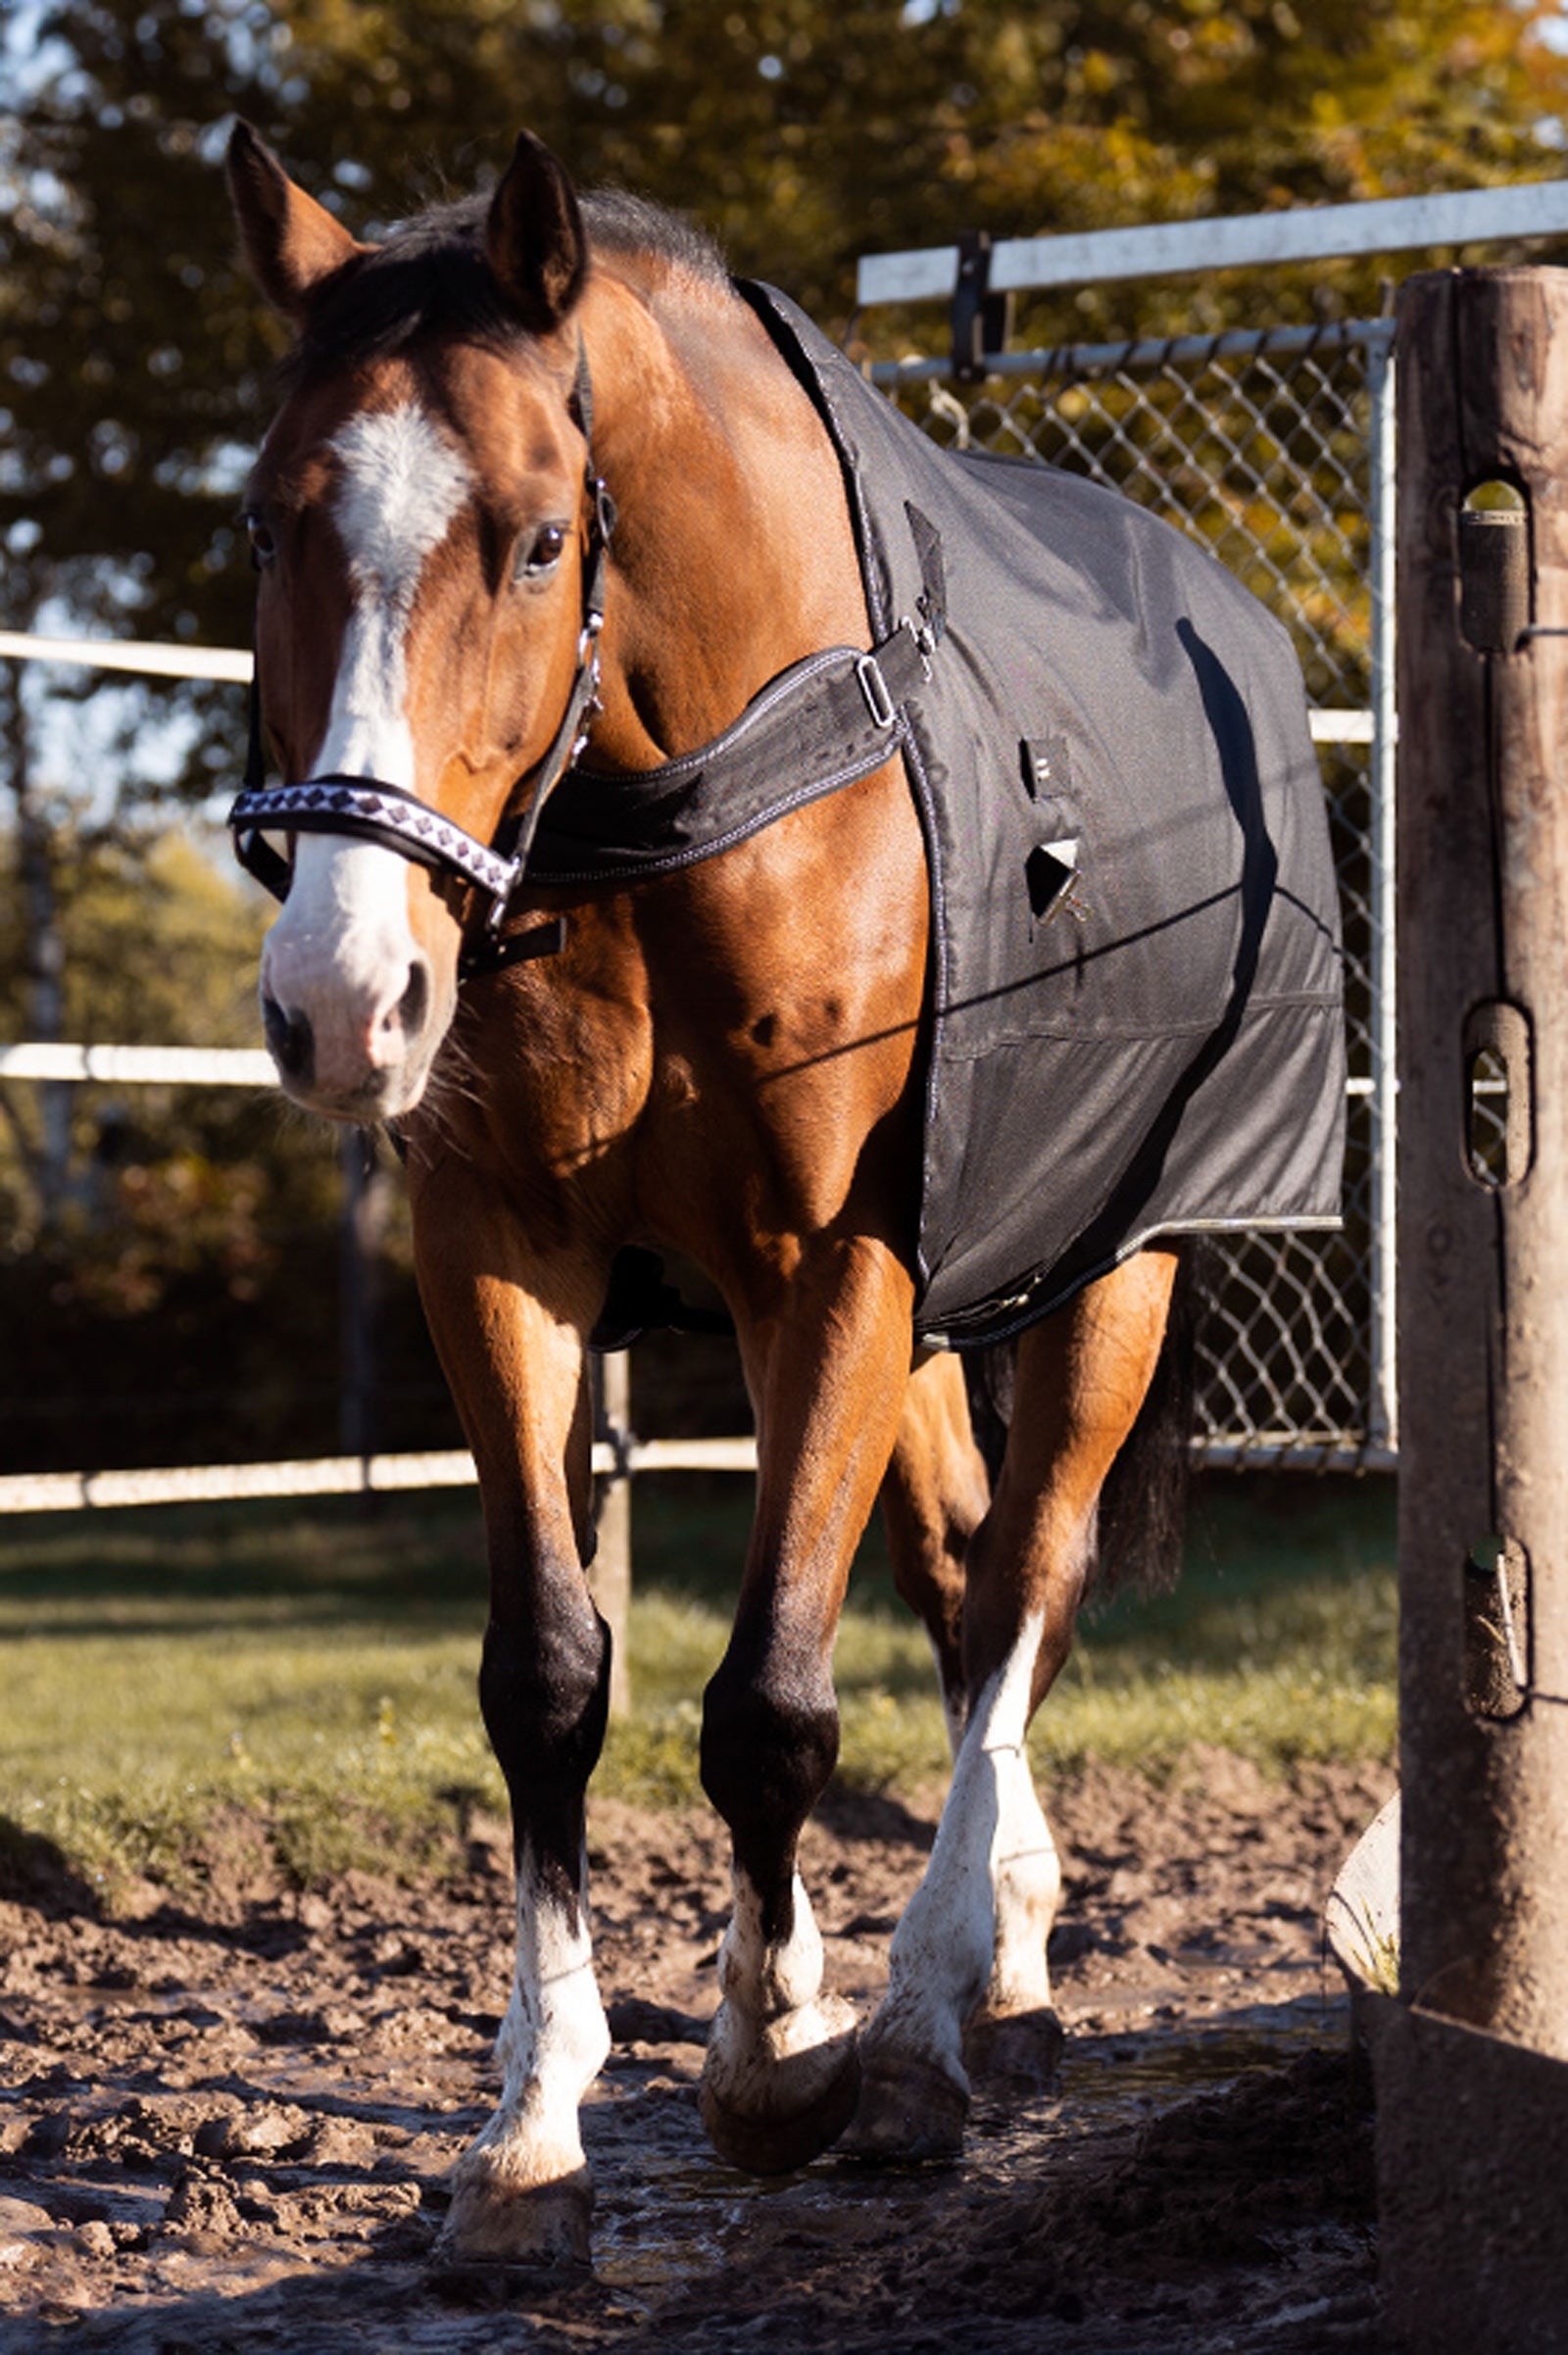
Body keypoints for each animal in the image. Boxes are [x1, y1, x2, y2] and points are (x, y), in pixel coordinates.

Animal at [222, 123, 1344, 2265]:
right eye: (264, 528)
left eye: (540, 540)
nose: (343, 996)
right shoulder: (504, 1256)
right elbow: (548, 1679)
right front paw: (531, 2130)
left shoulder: (833, 1262)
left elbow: (769, 1704)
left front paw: (771, 2058)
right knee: (958, 1565)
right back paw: (997, 1973)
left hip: (1115, 1267)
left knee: (1025, 1580)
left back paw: (924, 2025)